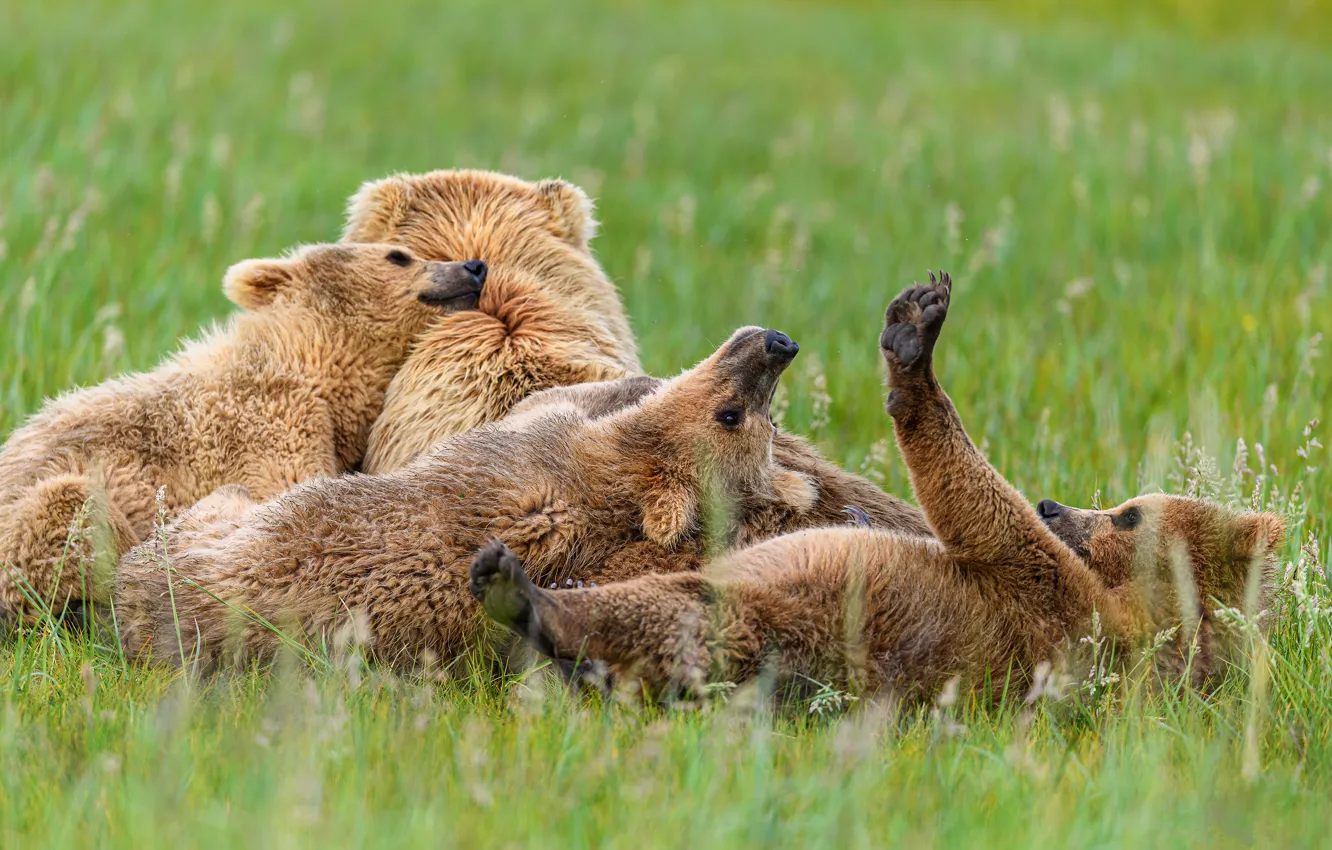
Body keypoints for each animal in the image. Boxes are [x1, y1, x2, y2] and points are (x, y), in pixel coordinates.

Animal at [0, 243, 484, 626]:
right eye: (398, 254)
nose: (474, 266)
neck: (314, 362)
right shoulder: (271, 423)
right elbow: (283, 499)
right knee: (70, 506)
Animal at [471, 272, 1285, 706]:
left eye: (1128, 514)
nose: (1056, 504)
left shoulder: (1063, 609)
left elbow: (979, 510)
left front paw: (913, 347)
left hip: (784, 616)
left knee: (679, 614)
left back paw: (525, 595)